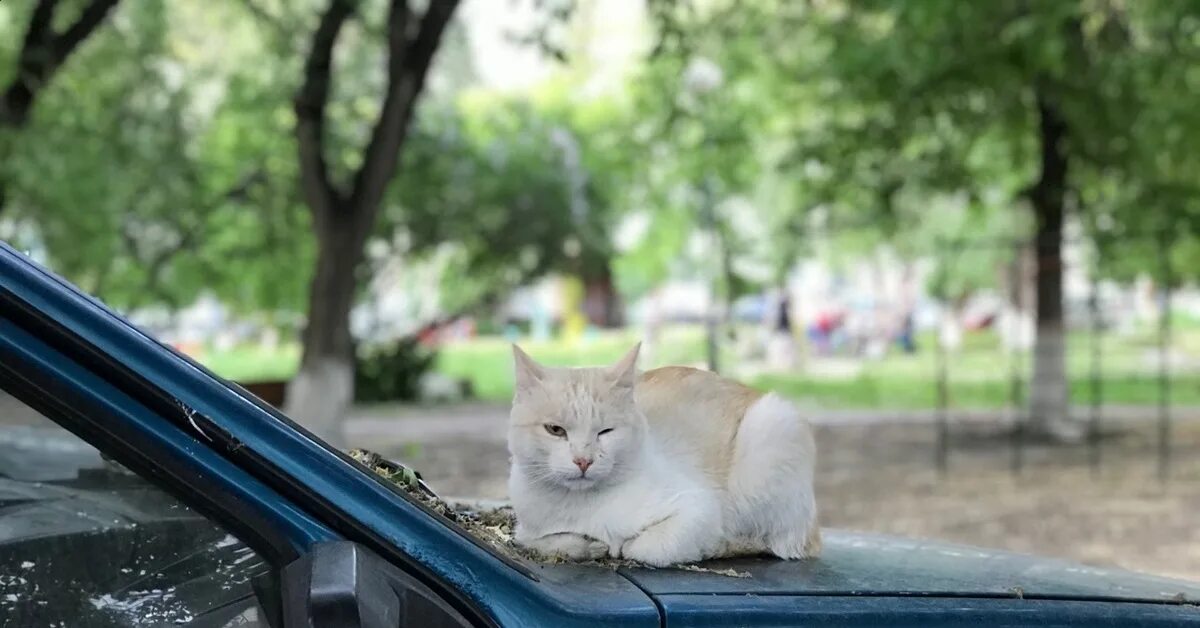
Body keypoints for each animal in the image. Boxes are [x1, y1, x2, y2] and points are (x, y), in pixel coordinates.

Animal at [501, 341, 820, 566]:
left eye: (605, 431)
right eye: (555, 430)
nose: (583, 460)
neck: (581, 506)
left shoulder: (698, 507)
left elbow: (646, 547)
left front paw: (623, 545)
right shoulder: (526, 530)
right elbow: (548, 542)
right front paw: (588, 545)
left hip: (771, 432)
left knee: (777, 542)